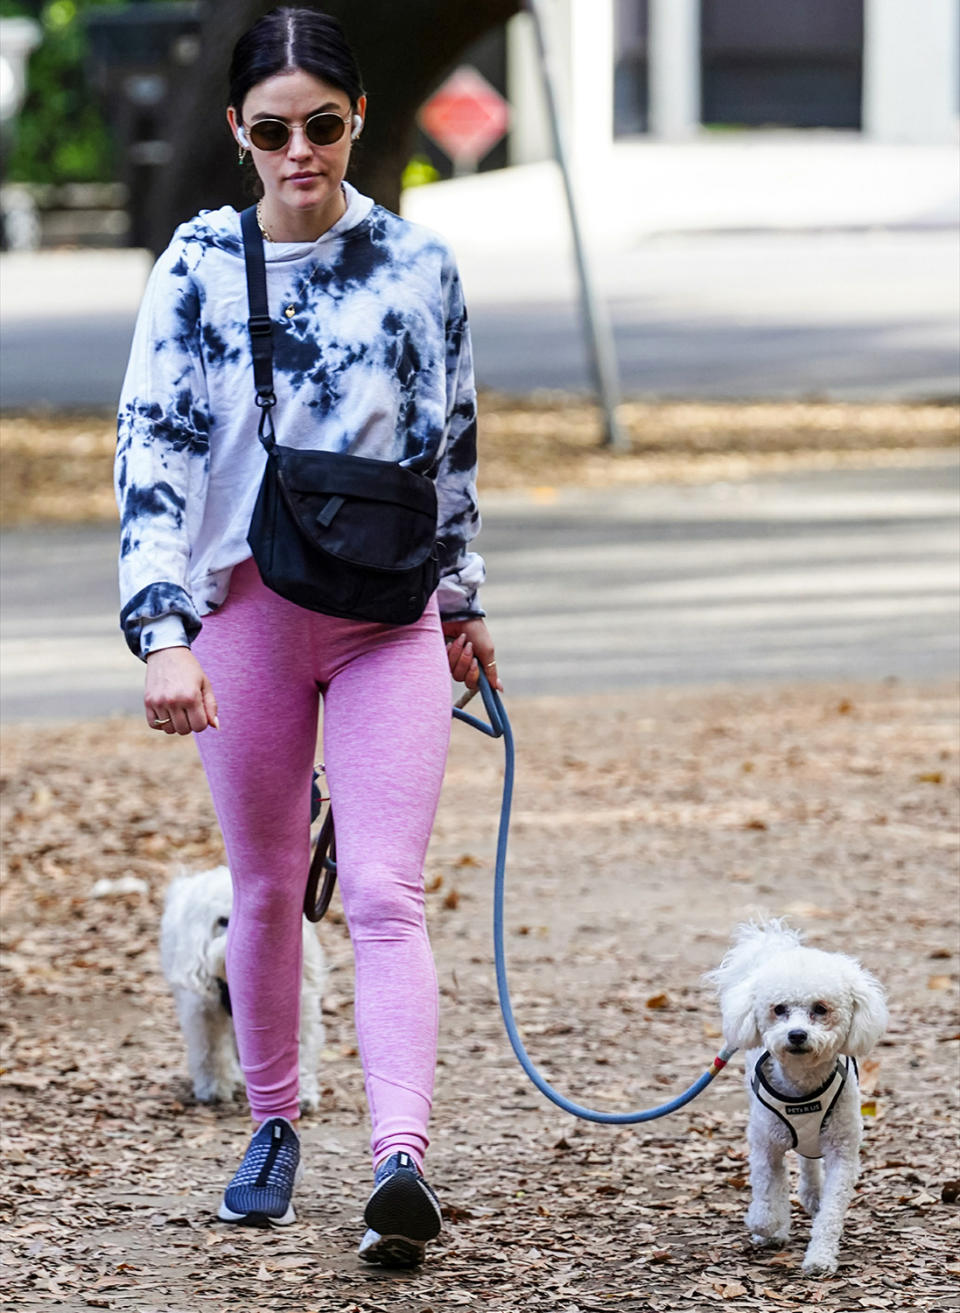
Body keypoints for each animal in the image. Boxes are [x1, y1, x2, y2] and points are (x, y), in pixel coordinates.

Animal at [703, 919, 887, 1276]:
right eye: (779, 1009)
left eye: (820, 1009)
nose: (797, 1035)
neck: (803, 1087)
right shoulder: (765, 1146)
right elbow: (767, 1194)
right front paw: (767, 1226)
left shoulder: (843, 1153)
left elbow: (831, 1212)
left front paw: (820, 1258)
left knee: (809, 1162)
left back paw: (812, 1194)